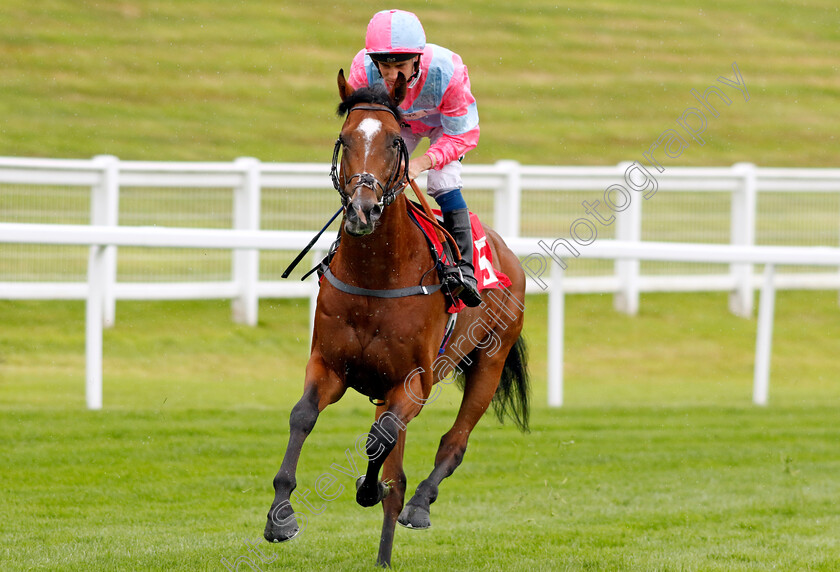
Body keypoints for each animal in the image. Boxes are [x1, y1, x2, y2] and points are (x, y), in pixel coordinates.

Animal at [262, 69, 528, 564]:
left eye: (393, 141)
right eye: (346, 138)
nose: (362, 210)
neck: (378, 277)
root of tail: (507, 255)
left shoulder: (414, 383)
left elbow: (379, 439)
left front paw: (368, 490)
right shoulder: (329, 366)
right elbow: (303, 416)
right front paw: (280, 515)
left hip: (489, 360)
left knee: (452, 443)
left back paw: (420, 506)